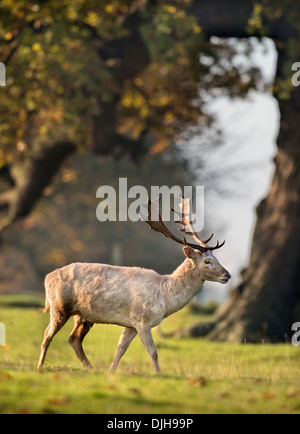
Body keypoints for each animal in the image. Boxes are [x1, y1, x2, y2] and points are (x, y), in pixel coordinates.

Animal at [37, 195, 230, 372]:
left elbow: (120, 349)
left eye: (217, 259)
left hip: (83, 315)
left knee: (73, 339)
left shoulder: (131, 324)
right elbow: (153, 352)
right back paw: (40, 366)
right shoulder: (142, 320)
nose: (227, 275)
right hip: (59, 306)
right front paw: (158, 374)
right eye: (207, 261)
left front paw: (111, 371)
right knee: (47, 334)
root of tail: (48, 277)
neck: (164, 296)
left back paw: (91, 368)